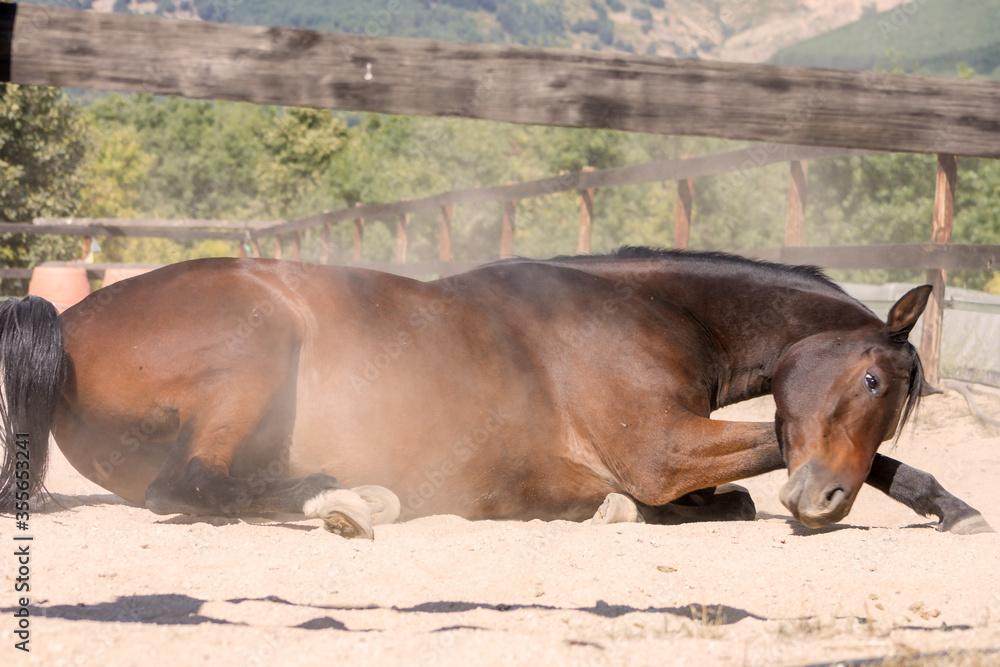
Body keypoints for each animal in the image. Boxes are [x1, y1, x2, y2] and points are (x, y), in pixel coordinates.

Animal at [0, 248, 990, 538]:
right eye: (872, 377)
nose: (817, 500)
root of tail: (71, 320)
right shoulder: (658, 447)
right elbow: (772, 446)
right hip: (256, 340)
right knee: (191, 488)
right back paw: (346, 499)